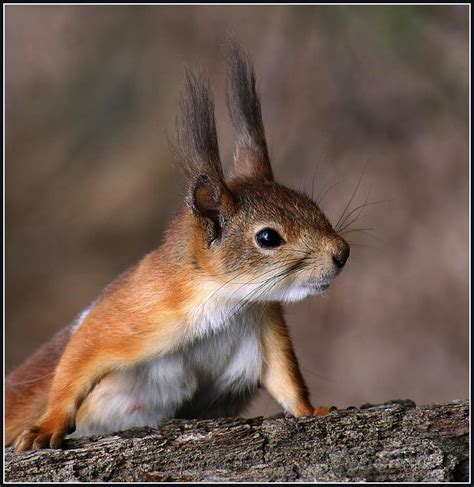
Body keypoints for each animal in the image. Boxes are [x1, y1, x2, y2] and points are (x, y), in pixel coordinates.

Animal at [5, 39, 350, 454]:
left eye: (311, 204)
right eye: (268, 237)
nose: (341, 253)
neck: (226, 299)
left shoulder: (265, 328)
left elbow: (286, 379)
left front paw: (313, 409)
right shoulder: (136, 312)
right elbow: (77, 360)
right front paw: (47, 425)